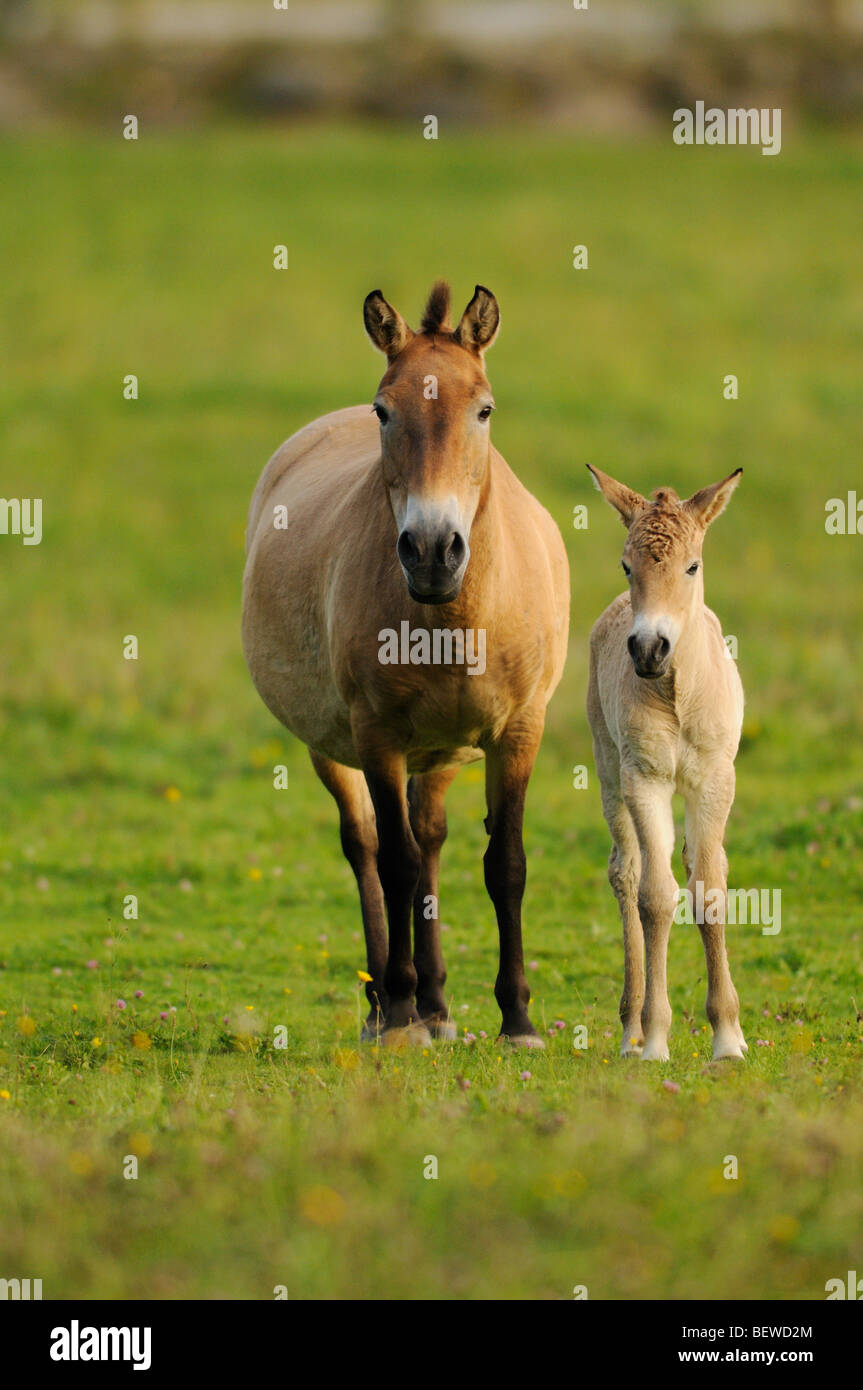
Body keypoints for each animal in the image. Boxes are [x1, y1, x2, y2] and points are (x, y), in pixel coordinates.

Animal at [239, 282, 569, 1045]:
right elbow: (392, 862)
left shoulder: (518, 732)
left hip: (442, 751)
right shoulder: (377, 736)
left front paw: (516, 1017)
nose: (431, 551)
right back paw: (388, 1005)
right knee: (368, 847)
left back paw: (438, 1006)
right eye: (384, 410)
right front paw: (395, 1014)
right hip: (332, 746)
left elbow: (504, 865)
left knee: (432, 843)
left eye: (484, 409)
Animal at [586, 467, 744, 1061]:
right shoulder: (644, 779)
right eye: (627, 565)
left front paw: (728, 1038)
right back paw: (631, 1028)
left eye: (692, 566)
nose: (649, 648)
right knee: (626, 873)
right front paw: (655, 1039)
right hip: (609, 772)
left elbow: (709, 891)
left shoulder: (715, 780)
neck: (677, 692)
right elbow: (655, 897)